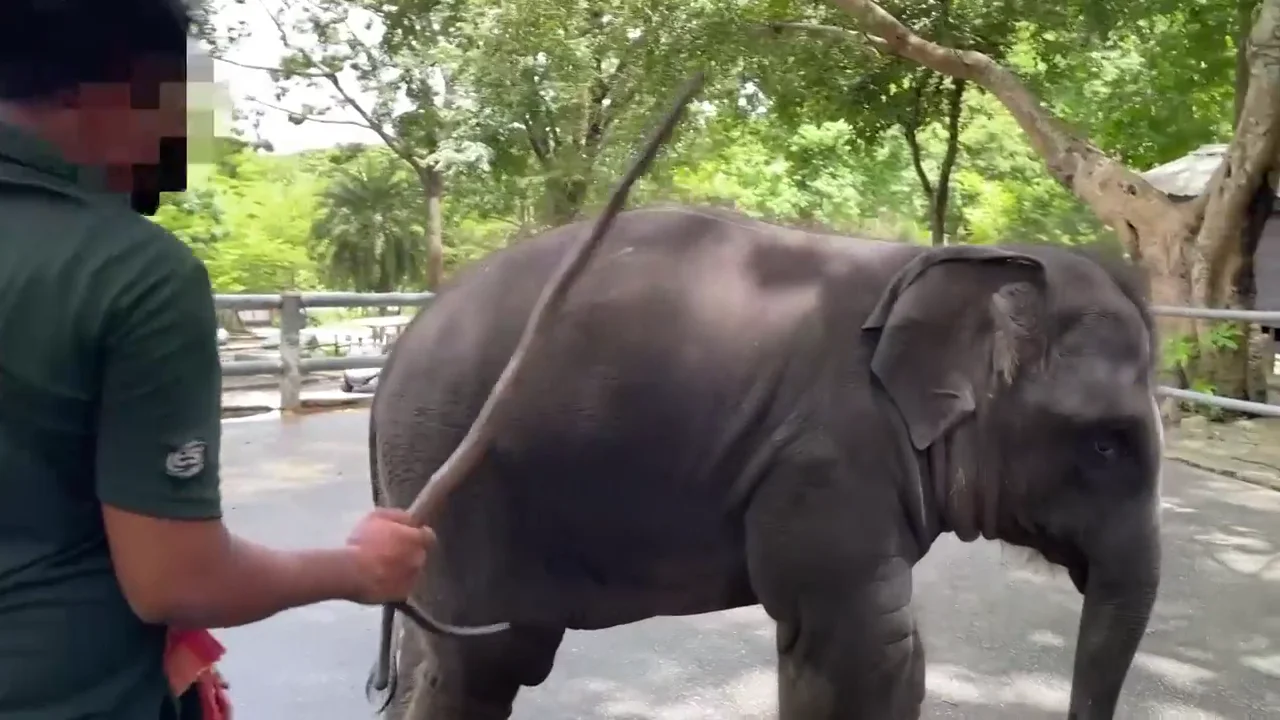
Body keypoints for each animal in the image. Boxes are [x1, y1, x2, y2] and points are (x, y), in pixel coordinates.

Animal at [367, 204, 1164, 720]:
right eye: (1106, 444)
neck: (956, 256)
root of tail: (395, 353)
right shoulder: (832, 458)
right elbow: (866, 650)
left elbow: (851, 652)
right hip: (454, 471)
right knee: (483, 666)